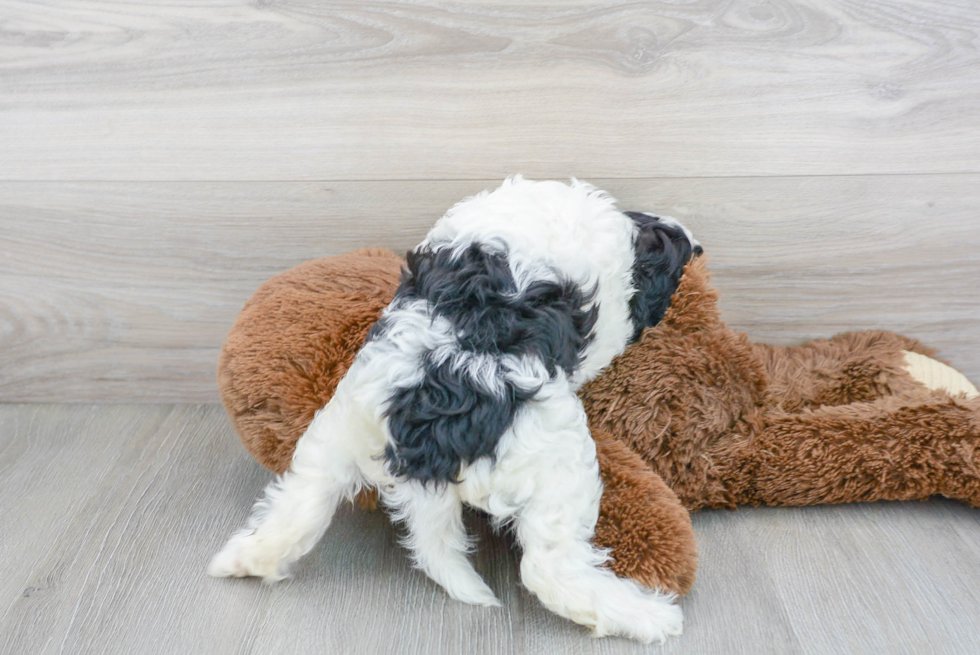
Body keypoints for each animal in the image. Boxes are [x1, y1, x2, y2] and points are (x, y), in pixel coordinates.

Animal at [211, 177, 704, 644]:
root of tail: (422, 440)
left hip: (338, 431)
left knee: (302, 504)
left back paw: (243, 559)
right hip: (557, 464)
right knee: (548, 568)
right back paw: (647, 615)